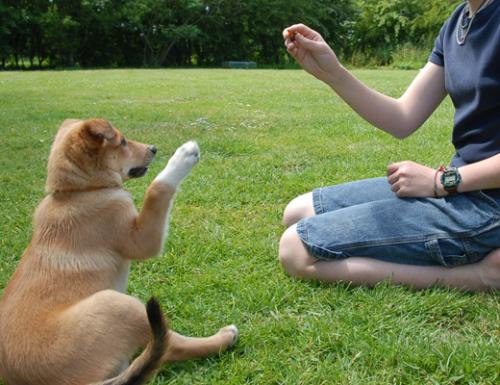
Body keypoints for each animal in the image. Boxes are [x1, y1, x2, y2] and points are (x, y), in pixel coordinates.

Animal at [0, 119, 238, 384]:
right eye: (122, 142)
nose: (153, 148)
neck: (80, 192)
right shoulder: (141, 239)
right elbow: (156, 189)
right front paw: (183, 156)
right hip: (117, 304)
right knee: (171, 345)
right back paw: (224, 337)